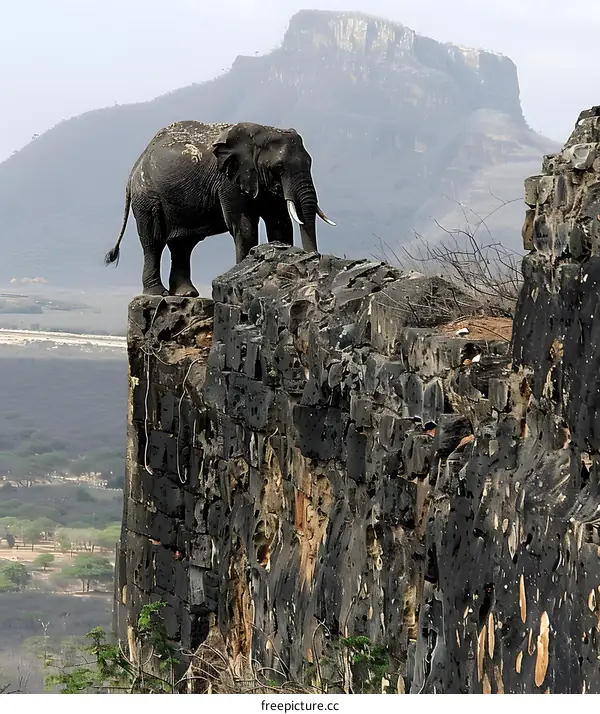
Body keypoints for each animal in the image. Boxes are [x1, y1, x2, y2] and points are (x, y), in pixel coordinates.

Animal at [104, 120, 336, 297]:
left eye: (310, 163)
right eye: (279, 168)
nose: (314, 259)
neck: (263, 131)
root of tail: (136, 165)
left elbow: (280, 224)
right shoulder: (228, 180)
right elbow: (244, 225)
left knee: (182, 245)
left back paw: (187, 293)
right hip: (147, 196)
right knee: (153, 242)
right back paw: (157, 294)